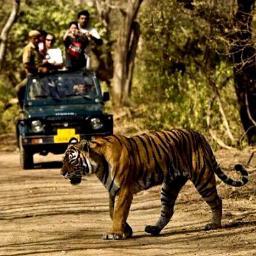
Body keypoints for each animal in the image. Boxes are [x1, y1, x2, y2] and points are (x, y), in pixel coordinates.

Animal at [60, 129, 248, 241]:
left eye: (71, 160)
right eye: (63, 159)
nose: (61, 173)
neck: (98, 164)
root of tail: (199, 134)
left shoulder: (124, 189)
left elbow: (119, 212)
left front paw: (115, 233)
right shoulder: (112, 191)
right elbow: (112, 212)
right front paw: (126, 231)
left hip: (202, 178)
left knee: (216, 201)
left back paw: (213, 224)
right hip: (170, 186)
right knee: (168, 210)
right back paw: (154, 229)